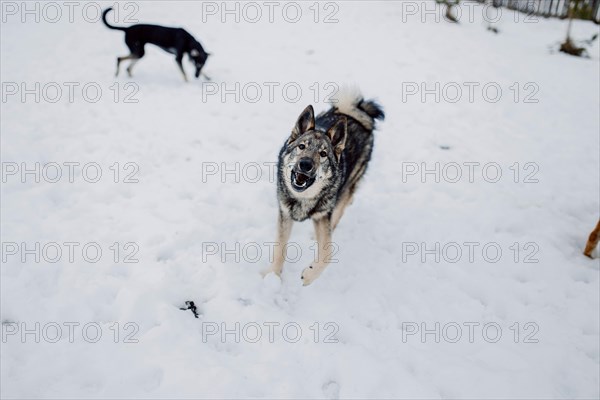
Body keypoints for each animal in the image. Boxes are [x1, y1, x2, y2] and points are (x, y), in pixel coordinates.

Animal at [266, 89, 386, 286]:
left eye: (323, 153)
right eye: (301, 146)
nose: (305, 164)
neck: (304, 199)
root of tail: (355, 113)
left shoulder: (323, 216)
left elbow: (328, 252)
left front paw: (309, 275)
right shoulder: (285, 213)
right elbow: (280, 248)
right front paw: (272, 276)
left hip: (347, 186)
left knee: (342, 205)